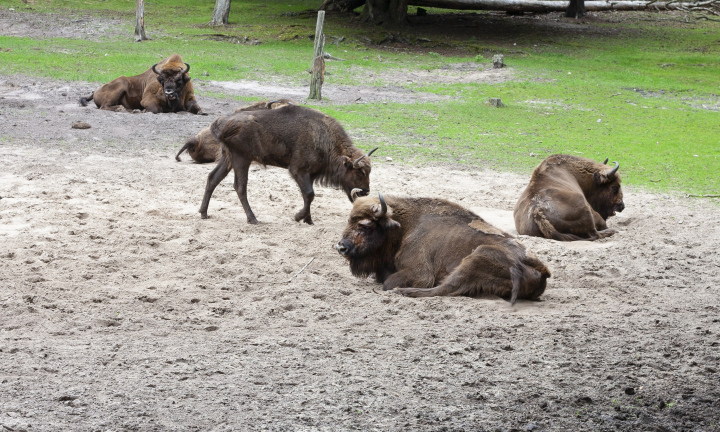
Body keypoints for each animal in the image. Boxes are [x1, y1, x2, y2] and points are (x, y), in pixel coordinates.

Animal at [197, 104, 376, 224]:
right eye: (358, 172)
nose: (365, 191)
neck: (323, 137)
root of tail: (220, 123)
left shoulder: (310, 175)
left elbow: (308, 195)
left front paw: (309, 221)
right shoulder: (298, 171)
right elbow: (309, 194)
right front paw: (298, 217)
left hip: (227, 159)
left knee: (213, 178)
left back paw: (204, 213)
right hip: (242, 159)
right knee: (240, 187)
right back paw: (253, 219)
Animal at [334, 194, 548, 302]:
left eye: (365, 225)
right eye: (349, 220)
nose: (341, 247)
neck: (405, 226)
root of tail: (542, 270)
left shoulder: (420, 273)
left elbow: (388, 283)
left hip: (477, 257)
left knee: (445, 288)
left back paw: (405, 292)